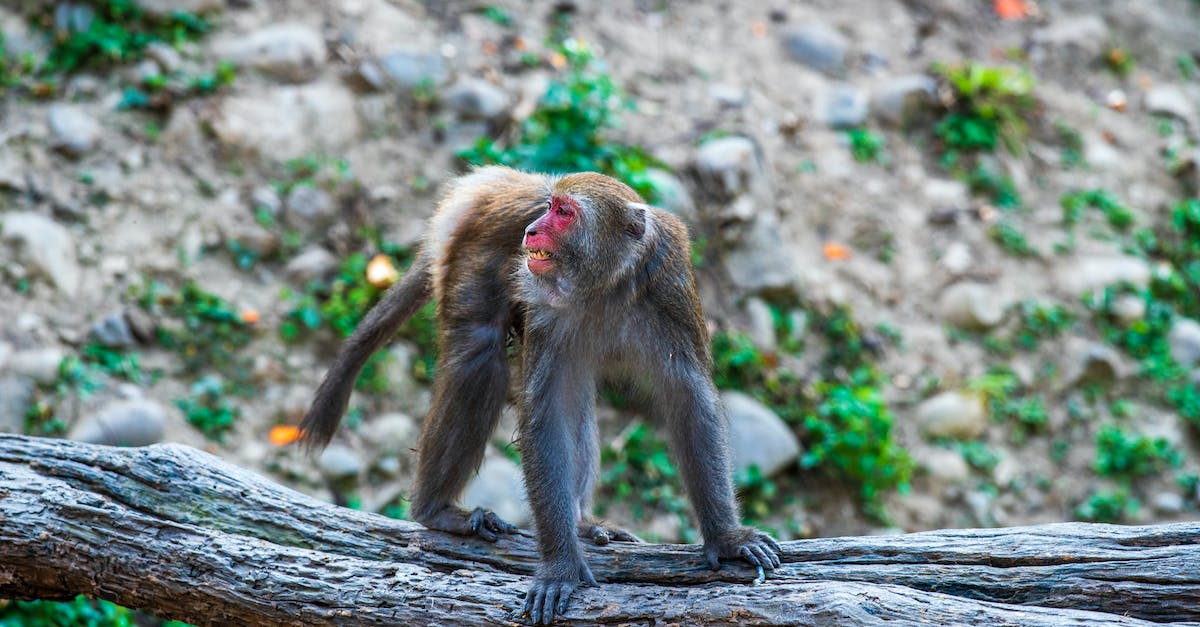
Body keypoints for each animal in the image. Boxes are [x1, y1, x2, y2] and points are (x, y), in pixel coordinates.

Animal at [300, 166, 781, 624]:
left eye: (564, 213)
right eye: (550, 206)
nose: (531, 230)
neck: (605, 283)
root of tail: (498, 187)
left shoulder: (671, 287)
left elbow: (689, 398)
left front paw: (726, 538)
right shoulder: (546, 307)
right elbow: (546, 414)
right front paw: (560, 566)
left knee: (576, 395)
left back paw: (580, 523)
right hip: (473, 255)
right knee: (479, 355)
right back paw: (436, 511)